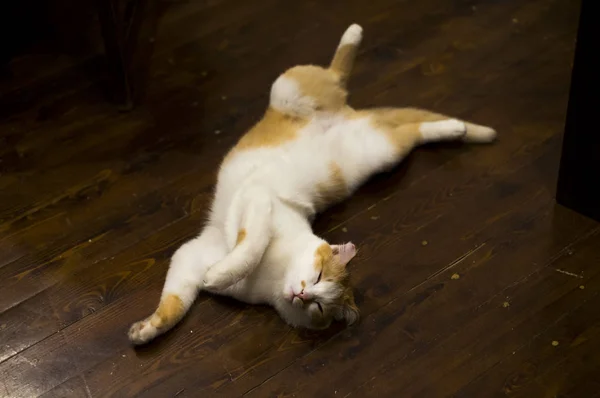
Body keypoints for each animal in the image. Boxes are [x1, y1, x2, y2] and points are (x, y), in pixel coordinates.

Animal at [127, 24, 496, 346]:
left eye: (319, 306)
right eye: (318, 276)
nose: (302, 293)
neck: (272, 278)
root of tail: (350, 113)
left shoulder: (202, 247)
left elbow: (190, 290)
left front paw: (159, 320)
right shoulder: (251, 205)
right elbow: (238, 255)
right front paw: (155, 324)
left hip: (382, 153)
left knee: (413, 131)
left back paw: (456, 128)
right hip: (290, 89)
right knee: (335, 72)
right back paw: (354, 33)